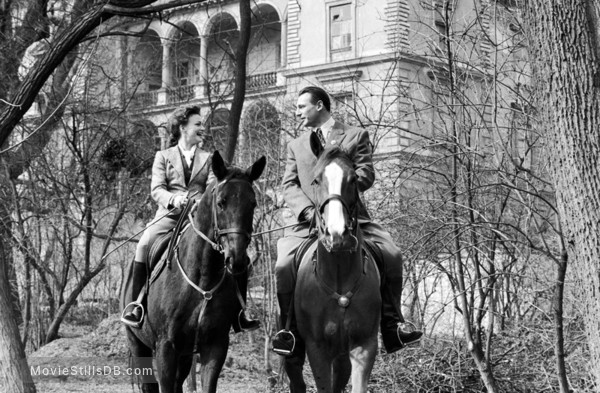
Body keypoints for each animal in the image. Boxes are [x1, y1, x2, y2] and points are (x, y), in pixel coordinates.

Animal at [120, 151, 264, 392]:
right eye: (221, 202)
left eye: (252, 203)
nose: (237, 260)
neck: (203, 277)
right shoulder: (165, 347)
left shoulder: (215, 346)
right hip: (138, 344)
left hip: (186, 354)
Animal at [284, 133, 380, 390]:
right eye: (316, 180)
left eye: (354, 179)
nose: (337, 236)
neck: (338, 273)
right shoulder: (317, 349)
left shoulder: (364, 345)